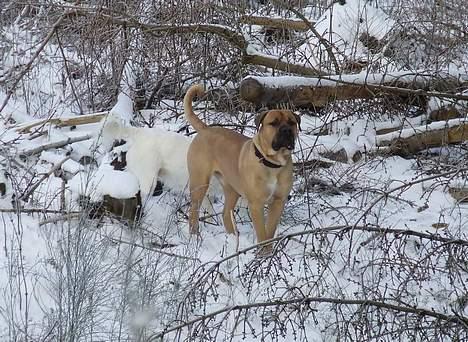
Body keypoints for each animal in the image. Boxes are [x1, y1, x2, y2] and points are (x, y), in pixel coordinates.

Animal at [183, 83, 300, 243]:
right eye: (273, 123)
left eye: (292, 122)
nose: (287, 130)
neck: (272, 163)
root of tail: (205, 129)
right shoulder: (256, 204)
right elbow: (262, 234)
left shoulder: (278, 202)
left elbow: (269, 232)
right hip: (199, 182)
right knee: (193, 210)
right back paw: (194, 236)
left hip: (231, 188)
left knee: (226, 213)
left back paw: (233, 237)